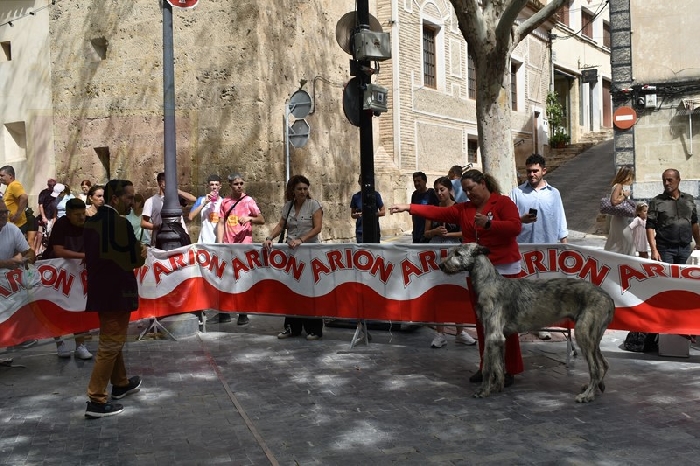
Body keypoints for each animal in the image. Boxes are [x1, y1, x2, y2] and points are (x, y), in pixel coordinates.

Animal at [439, 243, 615, 403]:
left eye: (458, 253)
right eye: (451, 251)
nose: (441, 265)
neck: (489, 282)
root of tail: (608, 298)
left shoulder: (492, 335)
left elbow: (488, 368)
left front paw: (483, 391)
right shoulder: (499, 337)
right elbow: (498, 365)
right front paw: (497, 386)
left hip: (583, 333)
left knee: (596, 368)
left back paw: (587, 395)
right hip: (593, 338)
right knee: (604, 363)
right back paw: (593, 388)